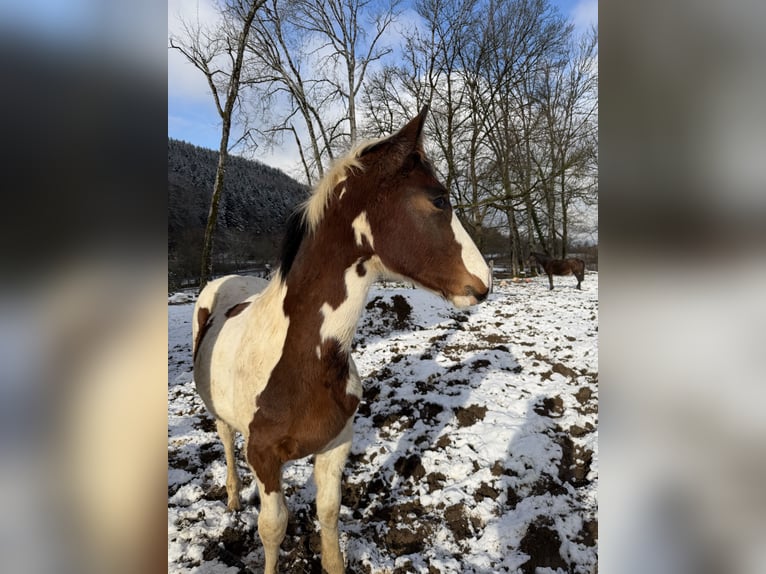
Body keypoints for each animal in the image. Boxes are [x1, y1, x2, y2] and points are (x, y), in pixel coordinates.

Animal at [192, 107, 490, 574]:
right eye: (438, 199)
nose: (484, 283)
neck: (300, 359)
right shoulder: (264, 457)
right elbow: (273, 528)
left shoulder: (336, 446)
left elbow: (329, 516)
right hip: (219, 415)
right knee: (225, 442)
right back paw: (234, 497)